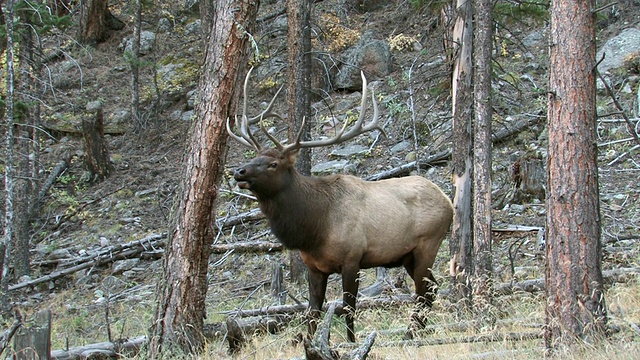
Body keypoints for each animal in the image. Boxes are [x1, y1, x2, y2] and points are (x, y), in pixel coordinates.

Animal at [228, 67, 452, 340]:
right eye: (255, 156)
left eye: (273, 164)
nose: (239, 171)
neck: (314, 228)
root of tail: (448, 200)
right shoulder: (314, 267)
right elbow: (313, 311)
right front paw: (312, 341)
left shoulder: (352, 259)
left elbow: (348, 308)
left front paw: (350, 341)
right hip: (408, 256)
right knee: (432, 289)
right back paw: (414, 333)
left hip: (428, 244)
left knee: (423, 291)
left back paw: (410, 334)